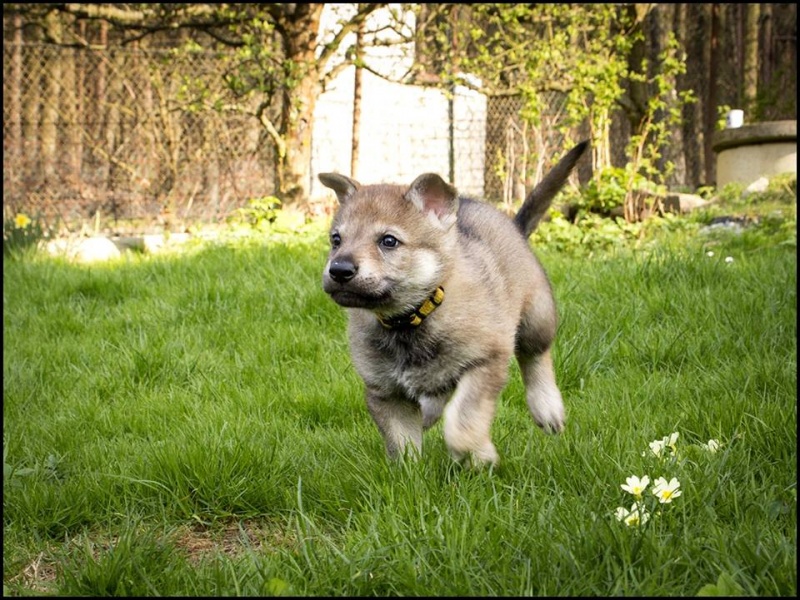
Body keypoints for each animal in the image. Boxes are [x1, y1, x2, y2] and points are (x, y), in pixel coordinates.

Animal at [318, 142, 588, 468]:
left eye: (389, 241)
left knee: (535, 358)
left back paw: (547, 408)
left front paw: (478, 455)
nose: (339, 270)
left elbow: (463, 419)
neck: (411, 318)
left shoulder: (485, 361)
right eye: (336, 240)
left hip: (537, 317)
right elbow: (402, 446)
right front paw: (410, 474)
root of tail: (514, 226)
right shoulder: (385, 392)